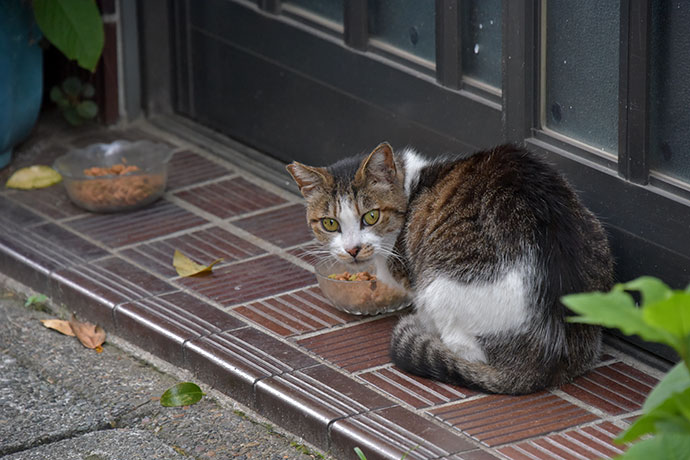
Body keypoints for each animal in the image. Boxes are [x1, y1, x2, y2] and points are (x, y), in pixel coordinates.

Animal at [284, 142, 612, 394]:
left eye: (371, 216)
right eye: (330, 223)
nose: (352, 249)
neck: (409, 187)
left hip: (439, 288)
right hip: (594, 233)